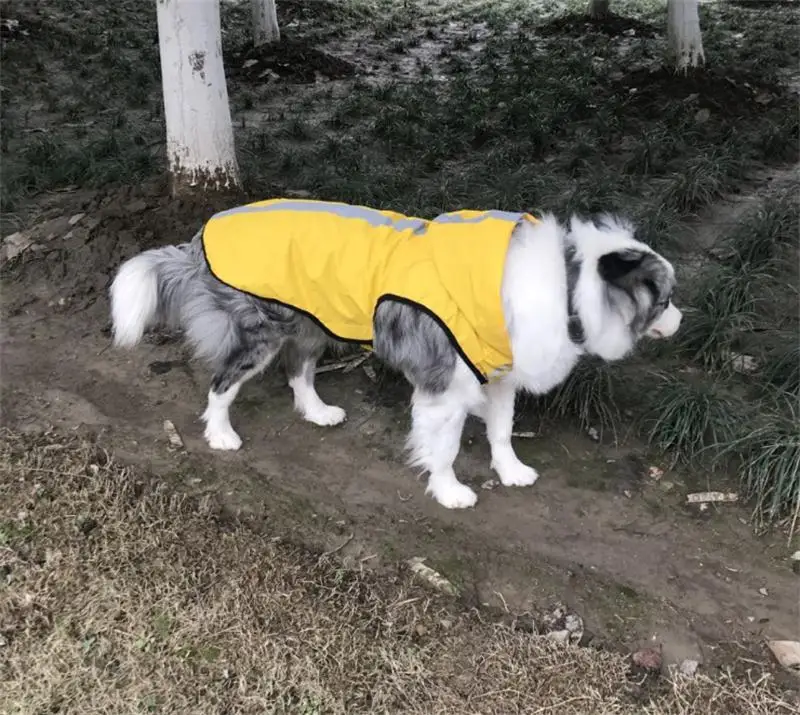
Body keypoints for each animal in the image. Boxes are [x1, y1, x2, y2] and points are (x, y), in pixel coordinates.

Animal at [108, 200, 680, 510]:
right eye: (665, 299)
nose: (681, 320)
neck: (567, 283)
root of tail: (204, 230)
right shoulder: (445, 386)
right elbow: (444, 449)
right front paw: (450, 492)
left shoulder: (497, 373)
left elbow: (501, 430)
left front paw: (511, 470)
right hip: (260, 334)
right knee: (222, 383)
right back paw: (221, 435)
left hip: (312, 323)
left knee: (299, 371)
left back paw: (317, 412)